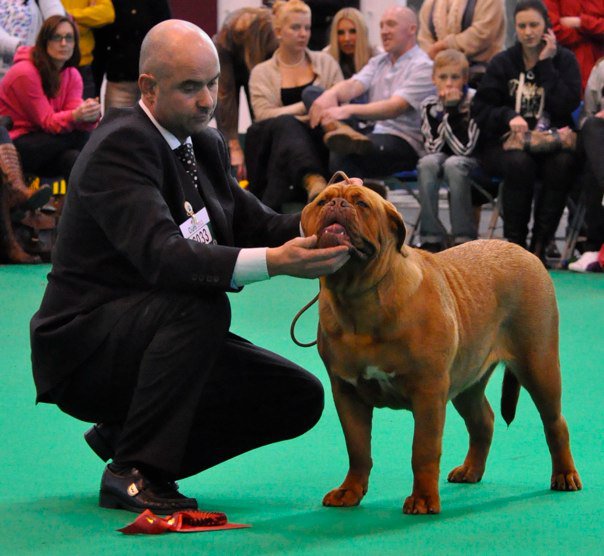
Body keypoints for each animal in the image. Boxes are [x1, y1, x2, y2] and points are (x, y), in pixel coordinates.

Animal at [300, 180, 580, 516]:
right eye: (321, 202)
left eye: (362, 204)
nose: (337, 204)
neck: (357, 295)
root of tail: (521, 250)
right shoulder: (347, 392)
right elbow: (357, 449)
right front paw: (350, 491)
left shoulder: (428, 392)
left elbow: (423, 449)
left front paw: (423, 500)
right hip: (467, 381)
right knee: (482, 420)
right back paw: (470, 470)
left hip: (538, 364)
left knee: (555, 422)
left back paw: (564, 475)